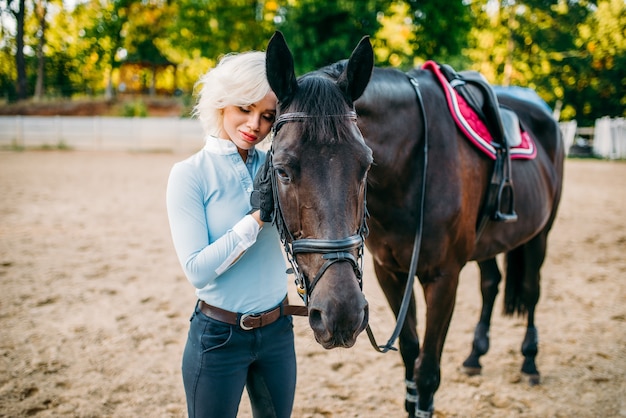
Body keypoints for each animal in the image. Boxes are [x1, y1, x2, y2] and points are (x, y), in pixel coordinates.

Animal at [262, 31, 560, 418]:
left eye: (366, 166)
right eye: (281, 170)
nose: (340, 315)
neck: (413, 167)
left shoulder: (444, 278)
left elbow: (428, 371)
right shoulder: (390, 273)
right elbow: (409, 354)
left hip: (541, 234)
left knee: (531, 289)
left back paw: (530, 362)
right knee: (491, 284)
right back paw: (475, 356)